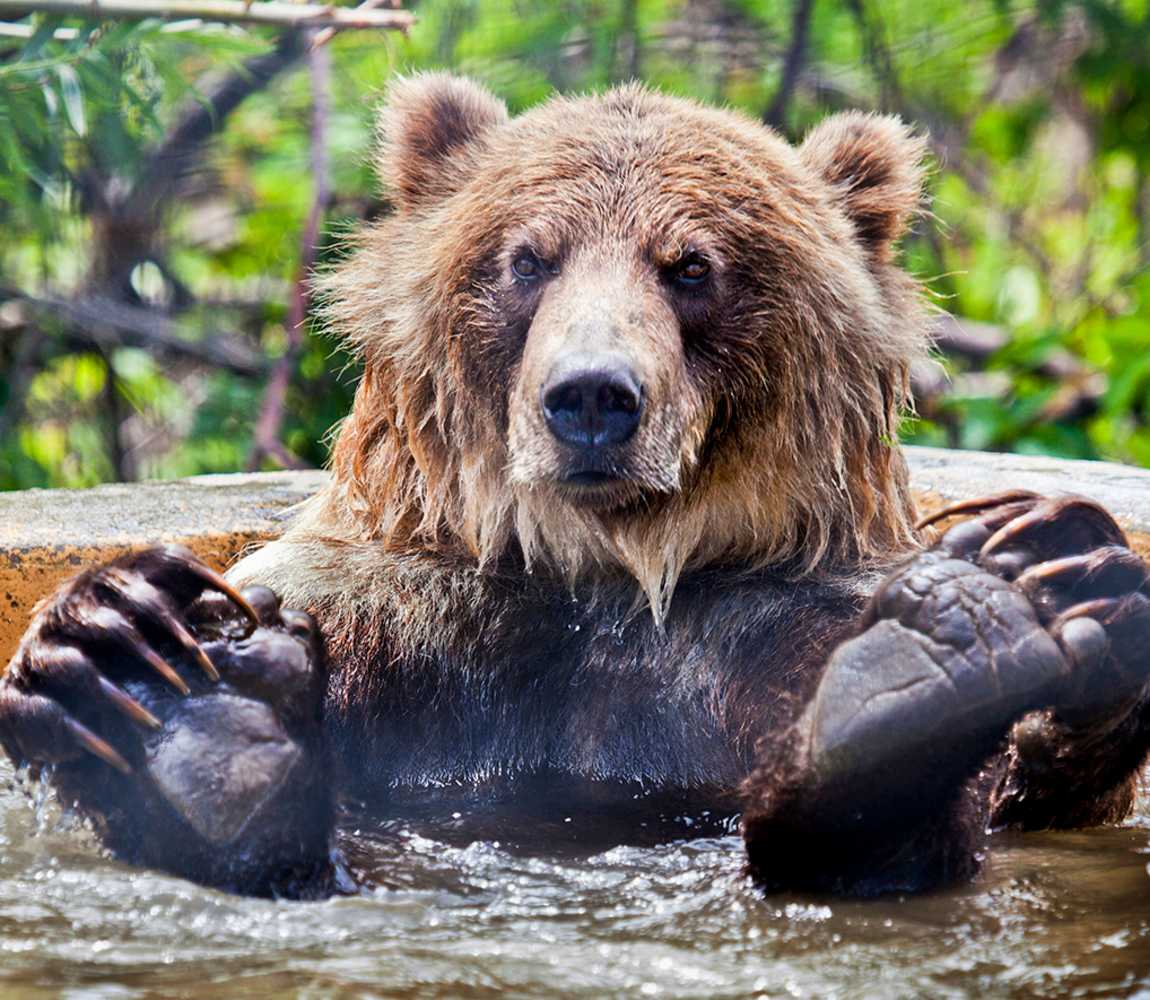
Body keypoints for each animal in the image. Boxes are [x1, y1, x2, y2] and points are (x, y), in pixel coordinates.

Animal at [2, 74, 1150, 896]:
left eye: (691, 265)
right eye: (528, 258)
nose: (592, 396)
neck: (608, 566)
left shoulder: (765, 625)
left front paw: (1051, 564)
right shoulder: (406, 613)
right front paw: (125, 633)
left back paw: (928, 678)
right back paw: (190, 729)